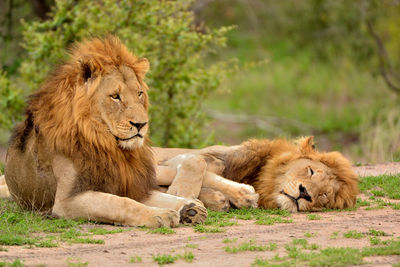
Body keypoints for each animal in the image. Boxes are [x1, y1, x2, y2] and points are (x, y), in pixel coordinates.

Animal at [0, 36, 208, 228]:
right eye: (115, 96)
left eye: (139, 93)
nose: (141, 124)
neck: (105, 143)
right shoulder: (66, 201)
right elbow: (120, 203)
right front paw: (160, 214)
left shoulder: (131, 182)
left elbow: (146, 197)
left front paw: (187, 208)